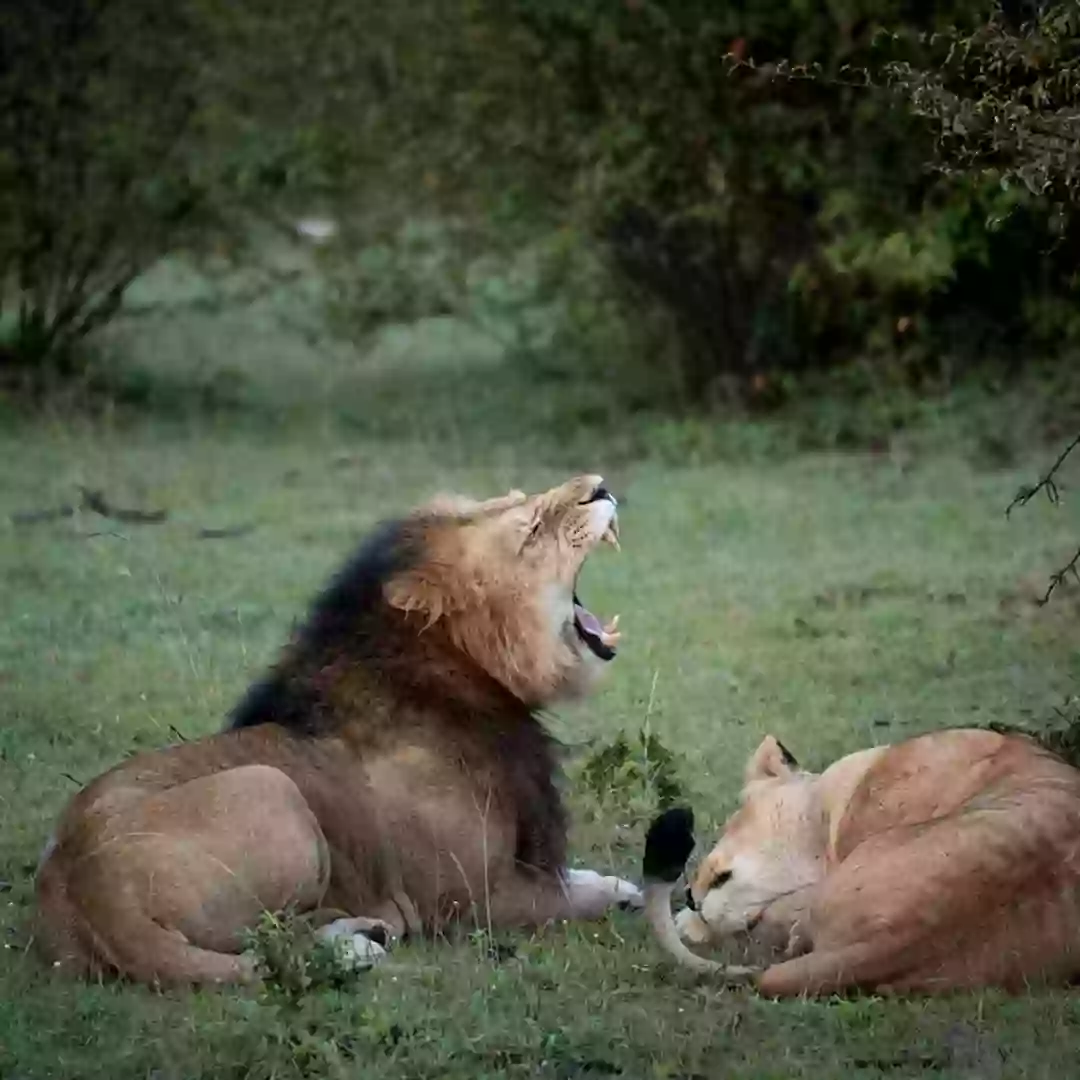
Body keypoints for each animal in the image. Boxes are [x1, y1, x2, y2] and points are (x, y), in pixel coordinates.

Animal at [34, 474, 643, 986]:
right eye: (530, 530)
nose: (600, 485)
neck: (469, 683)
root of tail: (89, 888)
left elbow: (585, 879)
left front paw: (622, 886)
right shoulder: (472, 901)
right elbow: (572, 900)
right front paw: (620, 896)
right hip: (272, 789)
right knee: (271, 945)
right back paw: (357, 944)